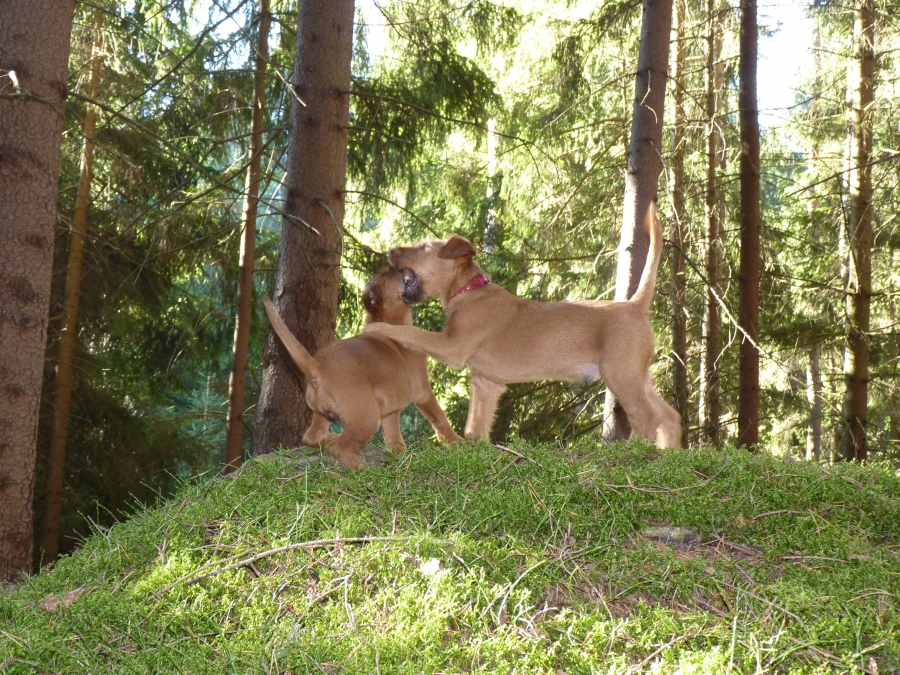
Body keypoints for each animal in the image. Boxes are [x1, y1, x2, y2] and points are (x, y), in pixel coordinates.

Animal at [263, 267, 462, 468]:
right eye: (387, 276)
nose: (399, 267)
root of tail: (316, 366)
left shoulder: (391, 412)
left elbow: (394, 438)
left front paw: (401, 456)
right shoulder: (423, 392)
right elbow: (440, 418)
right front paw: (457, 442)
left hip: (322, 415)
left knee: (312, 437)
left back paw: (331, 439)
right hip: (367, 419)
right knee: (341, 448)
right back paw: (362, 469)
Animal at [364, 203, 682, 448]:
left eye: (424, 247)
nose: (390, 251)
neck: (468, 291)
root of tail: (634, 305)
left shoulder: (452, 346)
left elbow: (411, 332)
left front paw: (376, 330)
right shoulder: (485, 383)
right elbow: (475, 427)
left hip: (620, 374)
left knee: (647, 418)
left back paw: (631, 452)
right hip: (638, 375)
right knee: (670, 416)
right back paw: (669, 454)